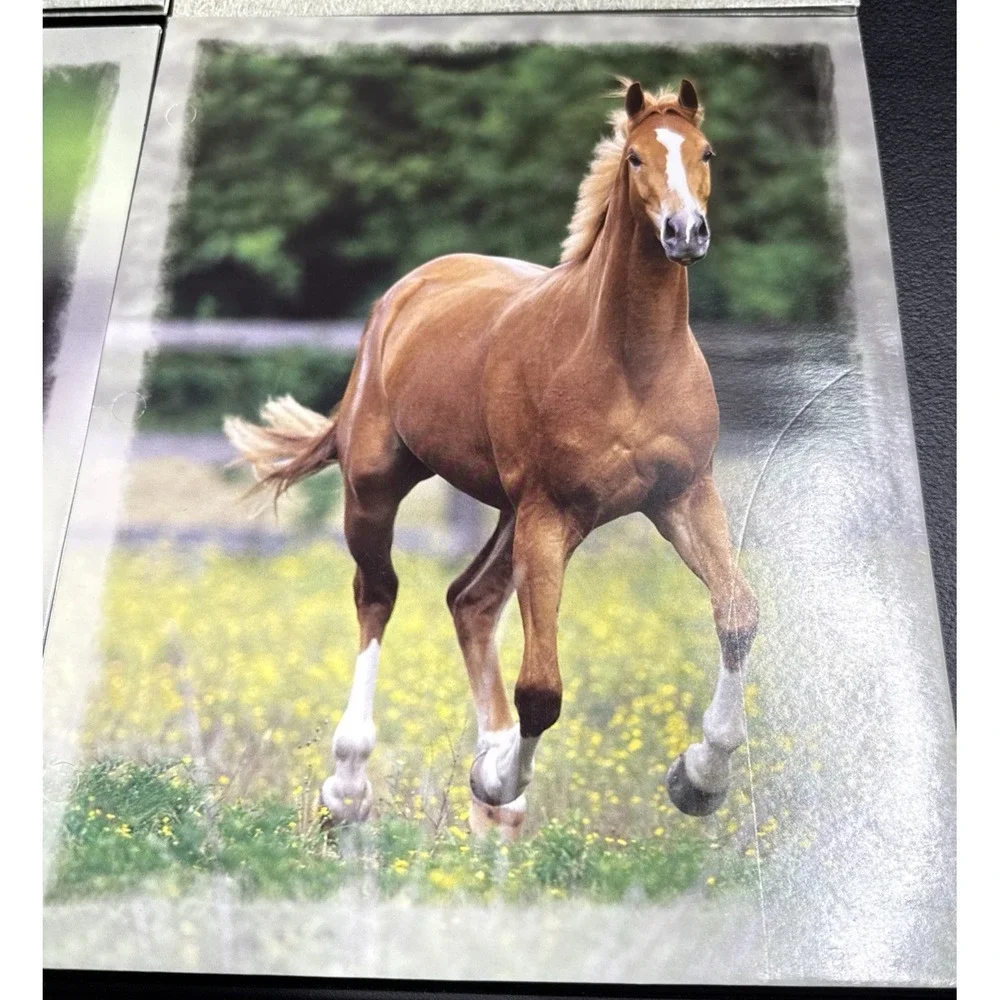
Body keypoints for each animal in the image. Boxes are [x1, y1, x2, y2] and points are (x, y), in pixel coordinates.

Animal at [224, 79, 759, 841]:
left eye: (705, 151)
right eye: (634, 157)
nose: (686, 234)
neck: (630, 362)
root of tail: (405, 293)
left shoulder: (682, 497)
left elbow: (737, 615)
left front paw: (699, 778)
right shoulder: (552, 513)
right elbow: (541, 689)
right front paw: (497, 774)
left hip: (513, 513)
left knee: (469, 602)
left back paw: (492, 806)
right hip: (379, 486)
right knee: (378, 595)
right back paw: (350, 788)